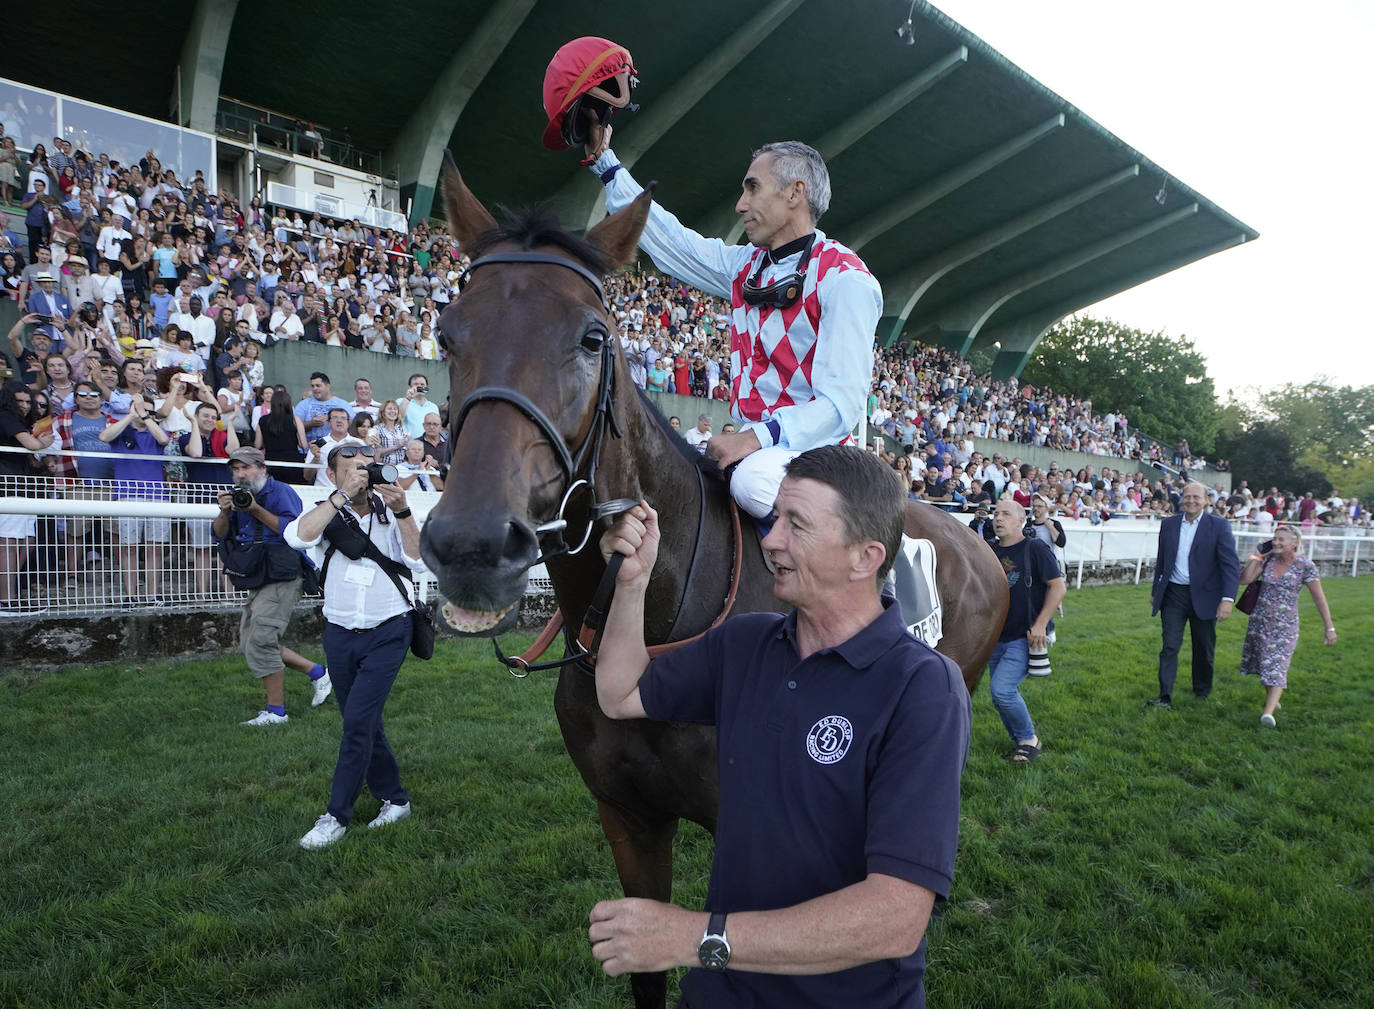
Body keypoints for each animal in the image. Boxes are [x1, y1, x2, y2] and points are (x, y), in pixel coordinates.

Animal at [417, 153, 1011, 1006]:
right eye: (446, 332)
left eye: (592, 337)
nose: (470, 543)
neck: (663, 619)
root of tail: (984, 539)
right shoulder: (627, 817)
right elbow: (646, 968)